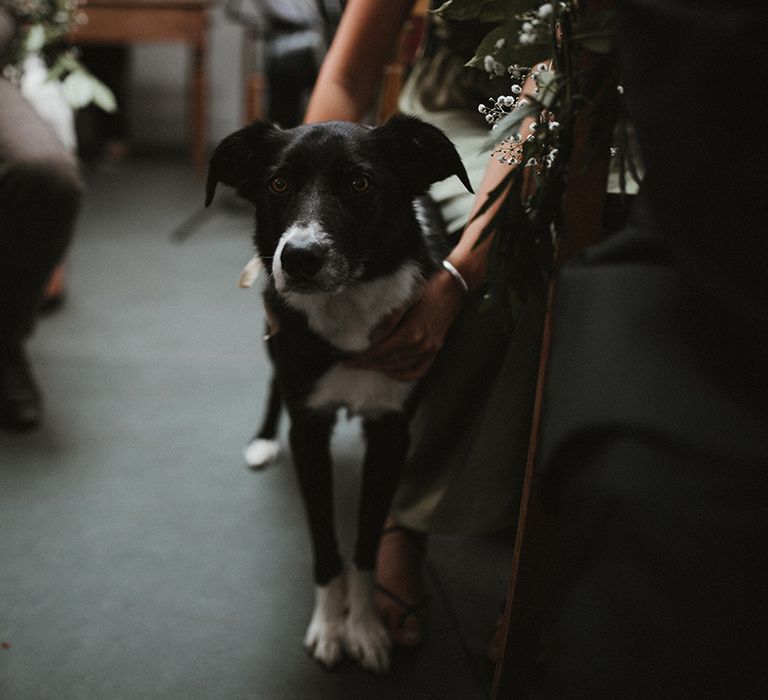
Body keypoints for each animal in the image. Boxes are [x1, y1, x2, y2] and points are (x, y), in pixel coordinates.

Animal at [206, 116, 468, 672]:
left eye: (360, 183)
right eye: (278, 183)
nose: (298, 258)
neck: (346, 312)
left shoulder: (390, 433)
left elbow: (366, 542)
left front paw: (365, 628)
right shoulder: (309, 428)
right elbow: (326, 543)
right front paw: (330, 628)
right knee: (273, 383)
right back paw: (263, 439)